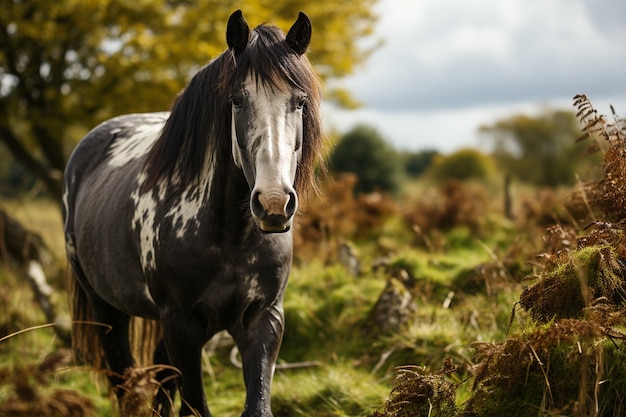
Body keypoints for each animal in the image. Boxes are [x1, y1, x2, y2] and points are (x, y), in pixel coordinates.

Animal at [61, 10, 324, 416]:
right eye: (236, 100)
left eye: (299, 101)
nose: (274, 203)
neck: (232, 239)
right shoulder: (182, 326)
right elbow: (195, 405)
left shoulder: (264, 320)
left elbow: (255, 405)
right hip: (106, 309)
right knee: (124, 382)